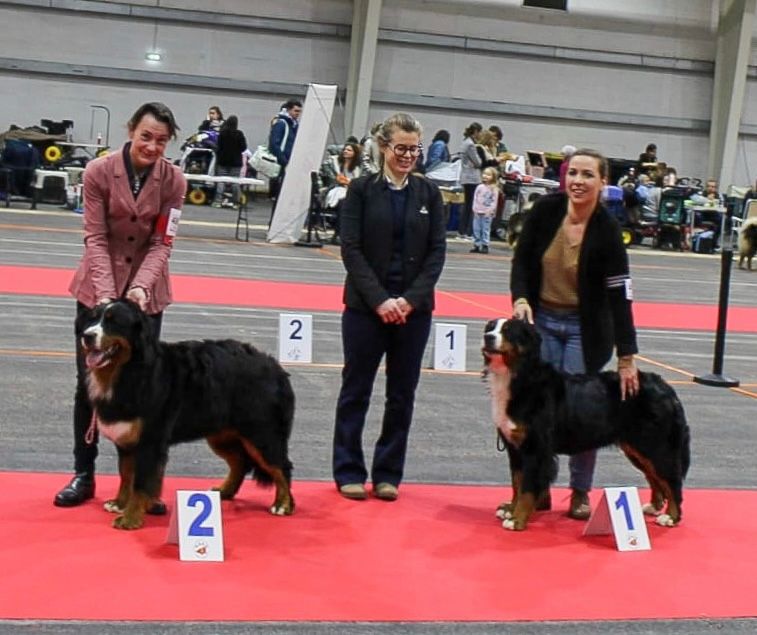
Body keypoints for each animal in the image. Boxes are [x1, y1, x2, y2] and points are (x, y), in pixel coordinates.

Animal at [79, 299, 295, 530]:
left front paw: (130, 518)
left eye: (114, 322)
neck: (129, 370)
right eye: (93, 319)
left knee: (281, 467)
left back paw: (283, 504)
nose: (87, 335)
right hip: (221, 436)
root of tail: (275, 367)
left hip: (261, 433)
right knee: (240, 463)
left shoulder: (149, 441)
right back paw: (224, 491)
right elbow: (126, 475)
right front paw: (119, 503)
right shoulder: (127, 439)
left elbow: (140, 483)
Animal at [481, 317, 690, 532]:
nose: (487, 337)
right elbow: (517, 482)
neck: (518, 376)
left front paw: (517, 519)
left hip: (655, 445)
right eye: (490, 328)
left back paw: (671, 517)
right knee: (654, 478)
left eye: (508, 331)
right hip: (636, 448)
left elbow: (527, 487)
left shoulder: (535, 448)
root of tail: (665, 386)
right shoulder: (514, 447)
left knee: (672, 479)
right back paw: (653, 507)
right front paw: (510, 509)